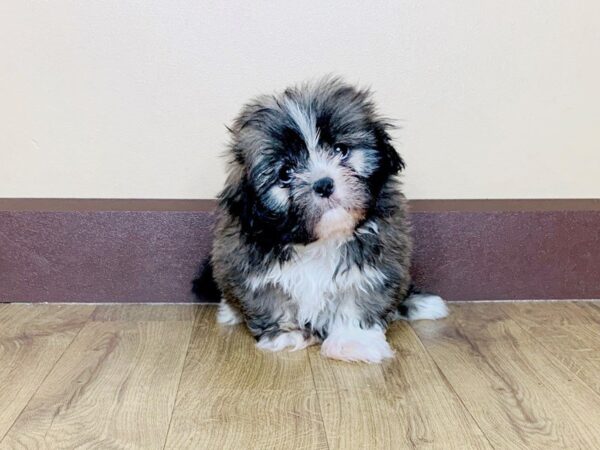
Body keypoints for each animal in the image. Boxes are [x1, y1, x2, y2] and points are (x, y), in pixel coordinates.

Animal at [209, 77, 448, 364]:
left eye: (340, 150)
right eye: (286, 173)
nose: (323, 184)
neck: (320, 241)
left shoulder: (377, 261)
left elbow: (359, 297)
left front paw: (353, 340)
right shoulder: (250, 267)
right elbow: (273, 299)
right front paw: (287, 334)